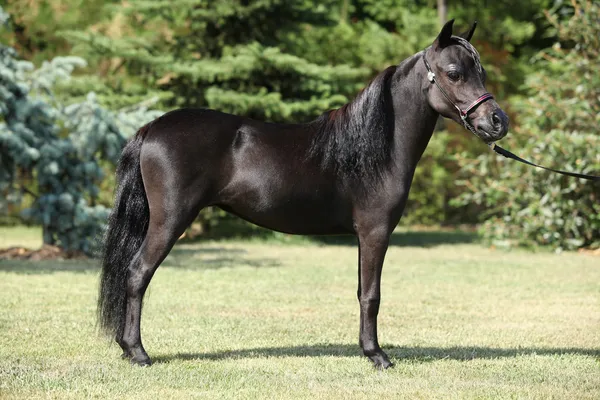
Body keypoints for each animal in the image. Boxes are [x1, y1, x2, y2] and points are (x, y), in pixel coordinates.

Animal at [101, 19, 508, 368]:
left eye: (481, 72)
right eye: (454, 73)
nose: (497, 122)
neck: (375, 147)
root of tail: (152, 128)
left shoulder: (365, 236)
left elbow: (362, 292)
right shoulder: (375, 233)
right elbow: (371, 295)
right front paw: (377, 355)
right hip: (169, 221)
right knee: (137, 274)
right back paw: (137, 352)